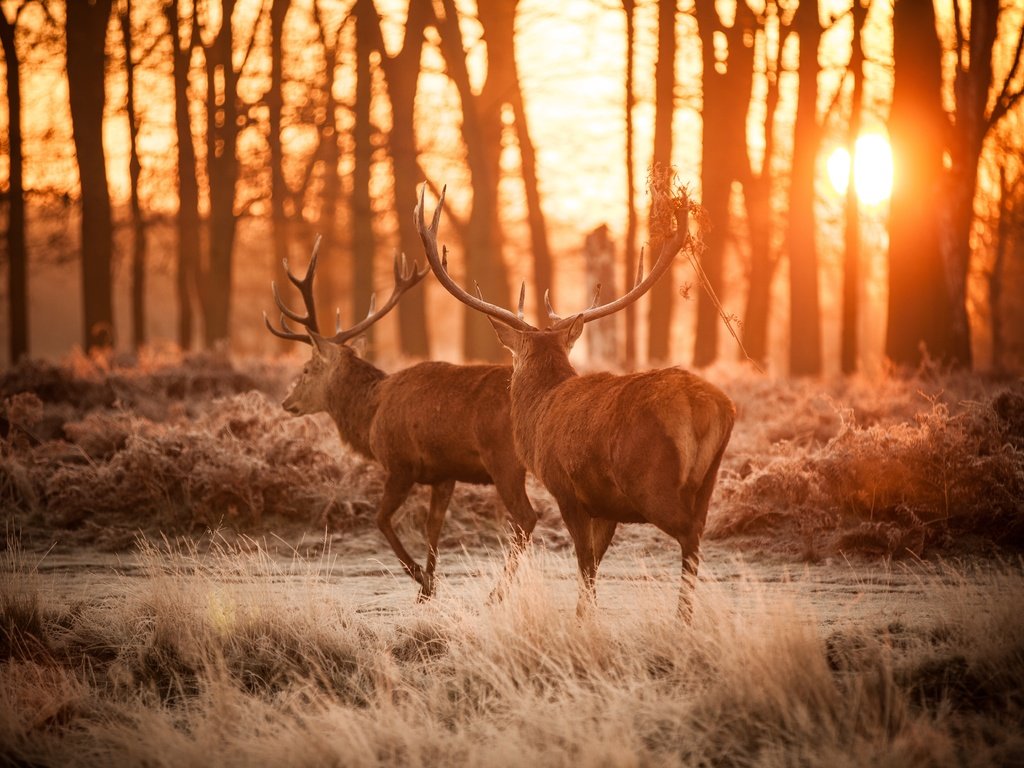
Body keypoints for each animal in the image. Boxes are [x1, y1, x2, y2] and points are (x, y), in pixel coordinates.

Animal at [264, 239, 536, 602]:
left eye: (306, 370)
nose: (286, 402)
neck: (370, 416)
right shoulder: (444, 473)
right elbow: (433, 527)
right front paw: (428, 588)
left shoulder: (400, 463)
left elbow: (381, 519)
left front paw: (420, 578)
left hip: (505, 461)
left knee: (525, 518)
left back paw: (497, 593)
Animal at [415, 186, 737, 618]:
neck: (538, 411)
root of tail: (705, 406)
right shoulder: (606, 506)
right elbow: (595, 564)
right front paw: (586, 615)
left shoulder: (565, 488)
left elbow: (584, 563)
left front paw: (581, 619)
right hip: (709, 478)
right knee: (698, 531)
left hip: (651, 480)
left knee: (689, 536)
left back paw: (681, 619)